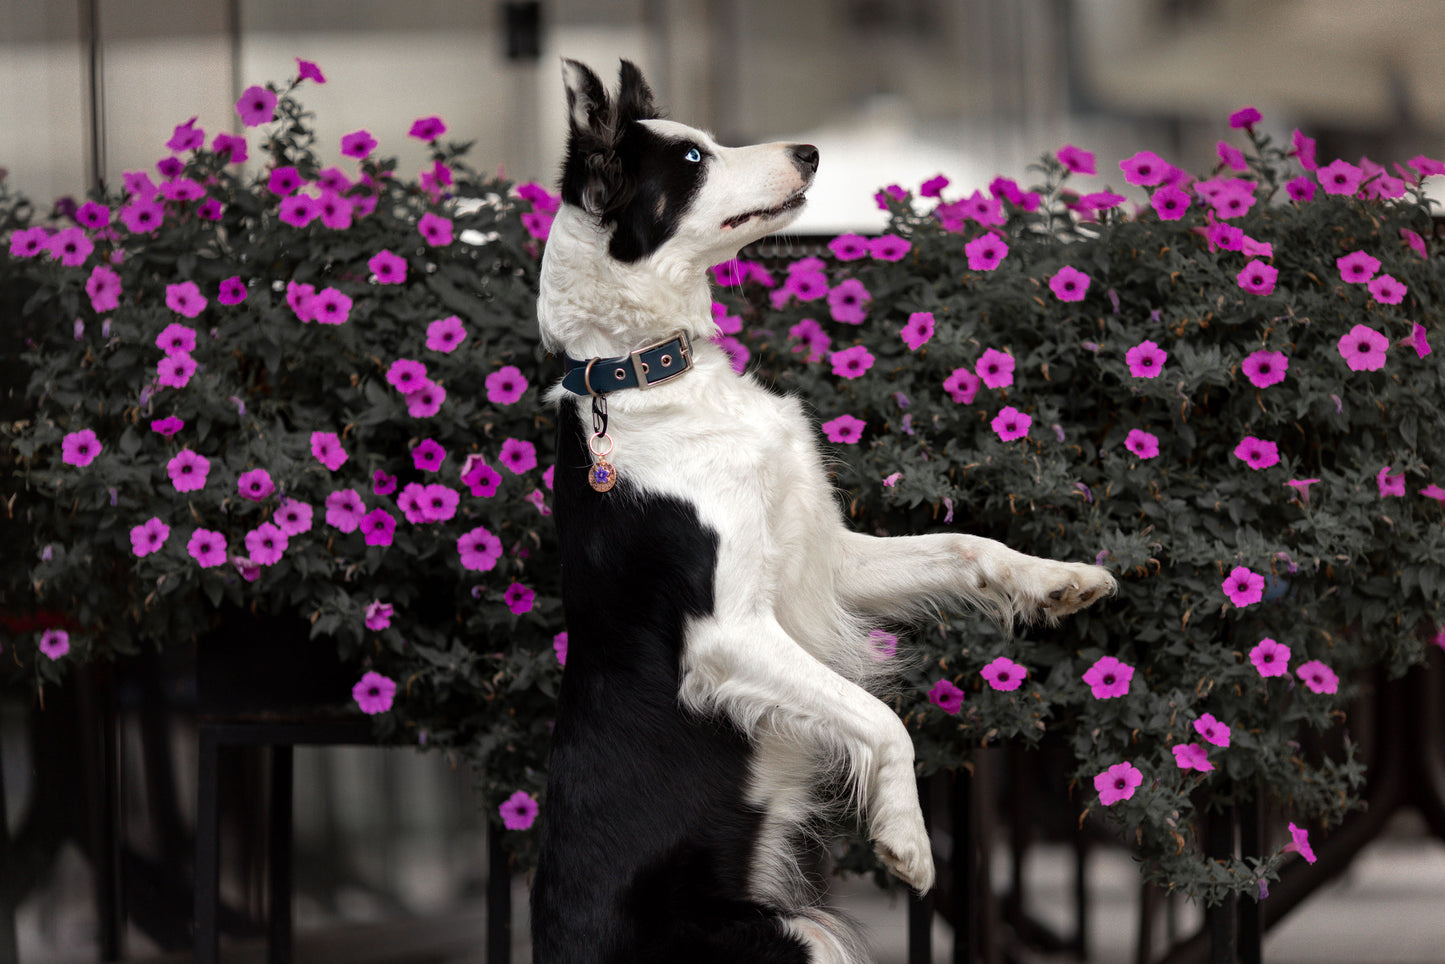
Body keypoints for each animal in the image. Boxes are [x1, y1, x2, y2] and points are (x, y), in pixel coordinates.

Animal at [534, 60, 1115, 964]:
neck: (652, 374)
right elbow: (880, 716)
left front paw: (1058, 580)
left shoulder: (824, 559)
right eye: (692, 160)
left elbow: (966, 544)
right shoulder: (728, 634)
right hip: (787, 936)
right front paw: (905, 837)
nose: (808, 151)